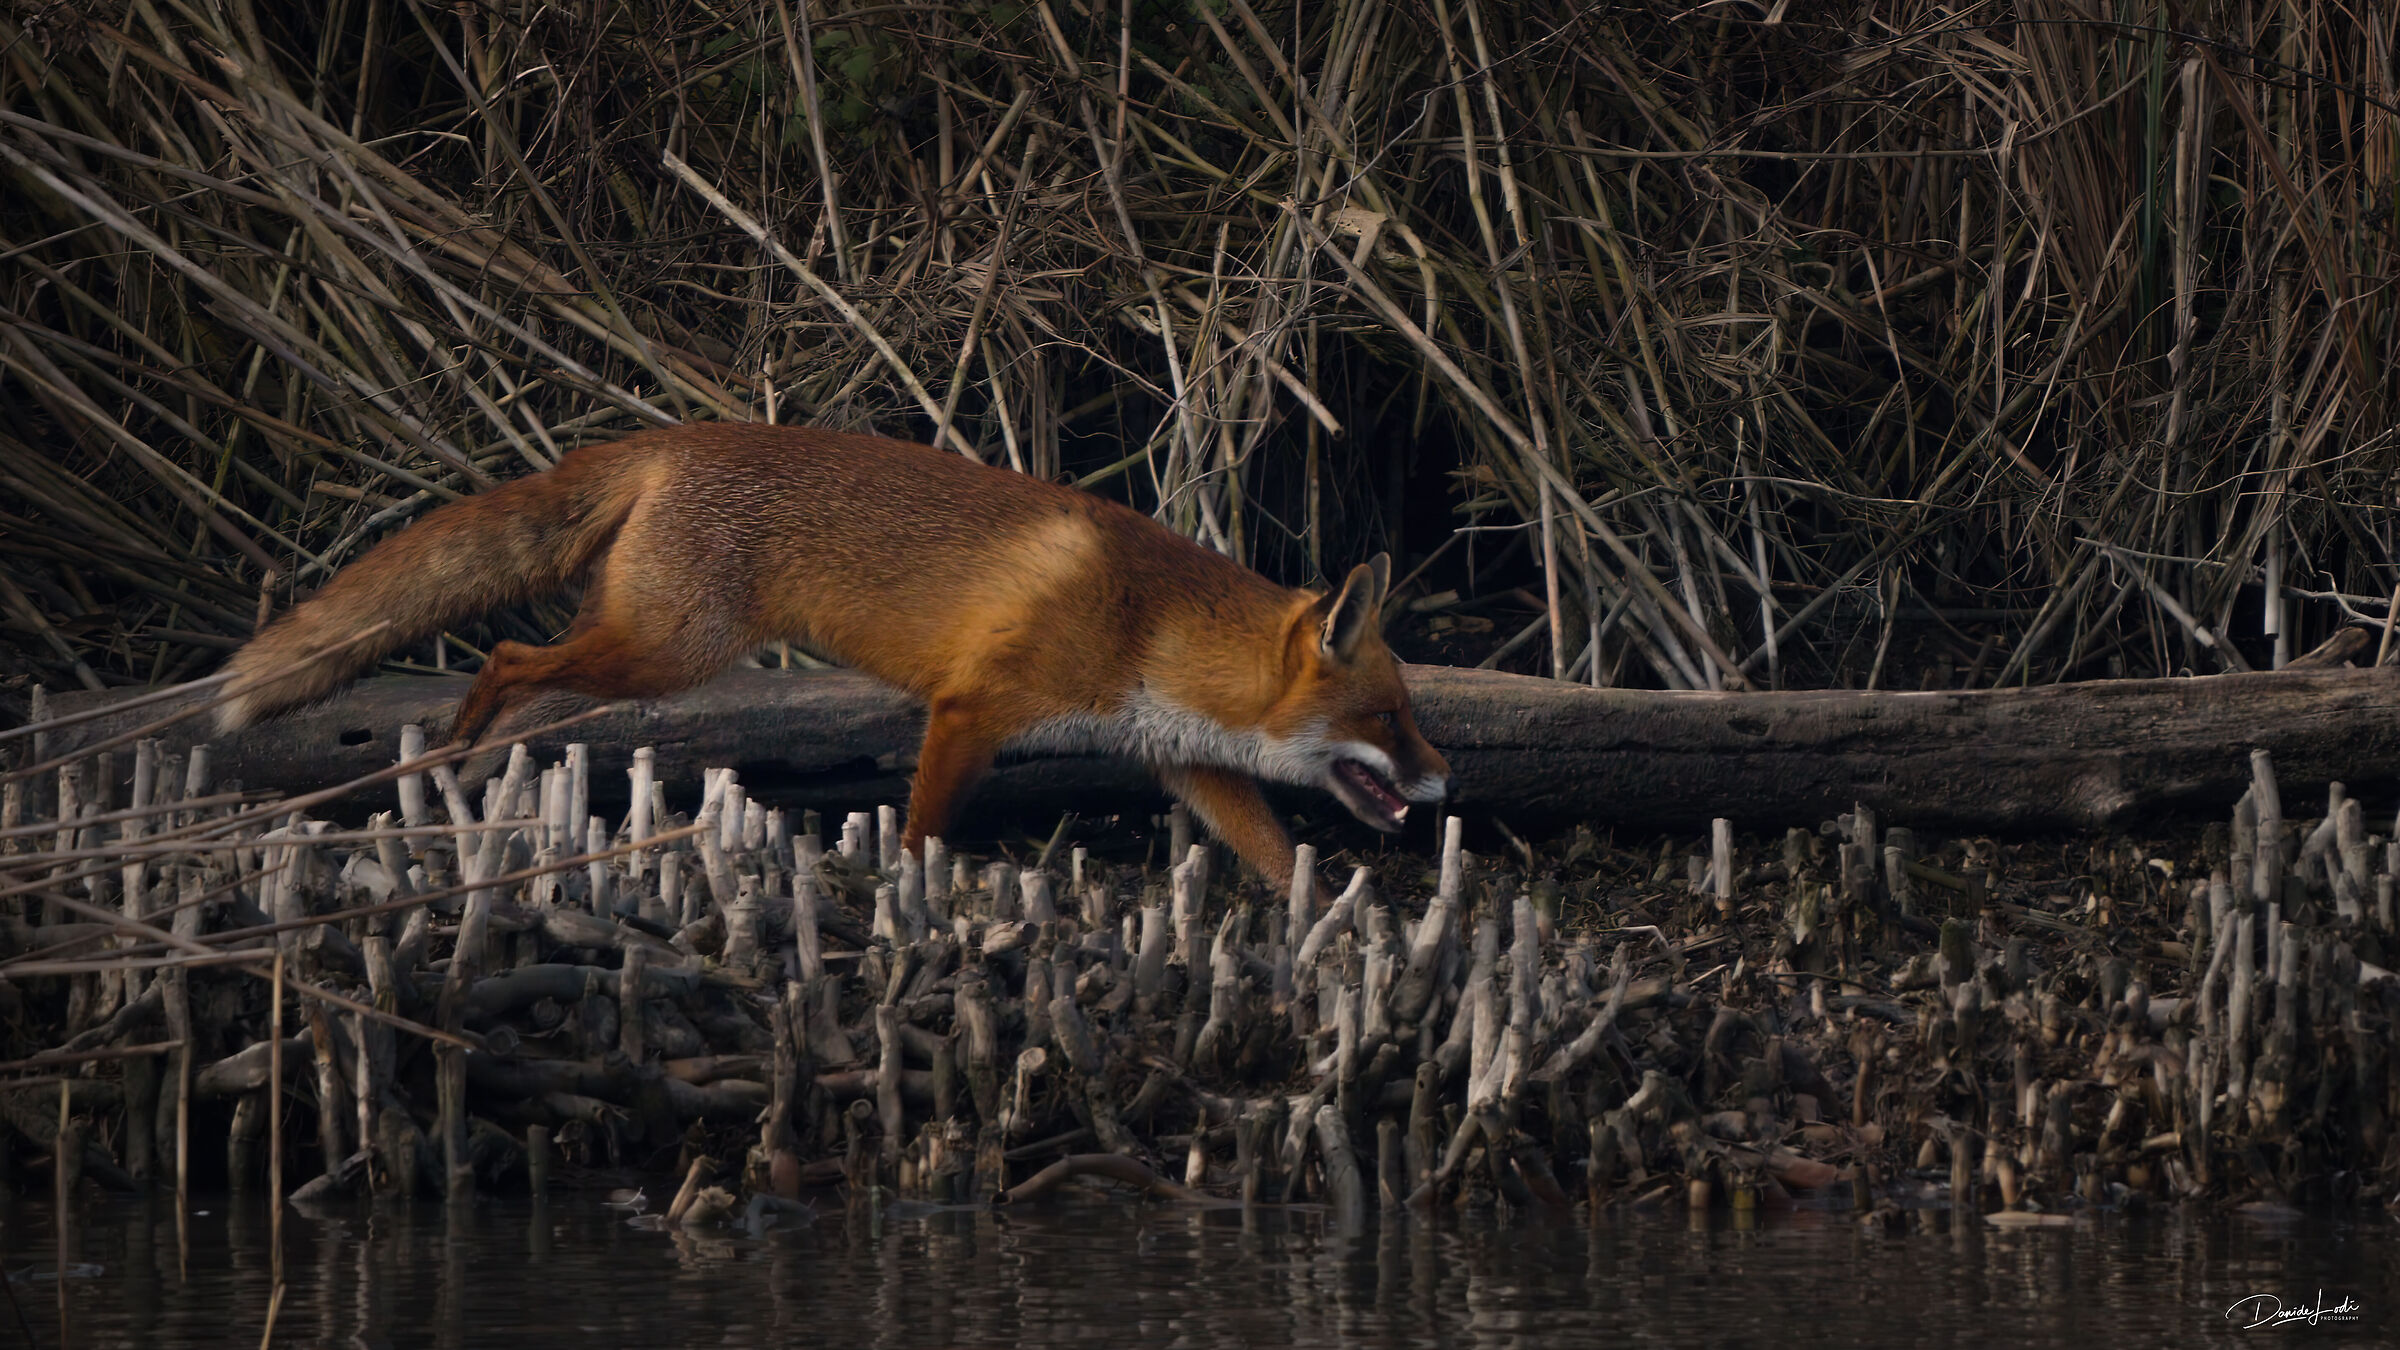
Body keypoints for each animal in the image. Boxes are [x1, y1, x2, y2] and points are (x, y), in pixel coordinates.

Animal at [215, 422, 1454, 891]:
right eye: (1391, 719)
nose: (1447, 779)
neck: (1146, 624)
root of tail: (675, 434)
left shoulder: (1178, 758)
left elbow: (1279, 854)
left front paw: (1341, 930)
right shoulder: (969, 710)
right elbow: (920, 833)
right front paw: (912, 897)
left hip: (639, 648)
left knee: (526, 673)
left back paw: (468, 788)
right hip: (665, 650)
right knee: (511, 655)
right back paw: (452, 768)